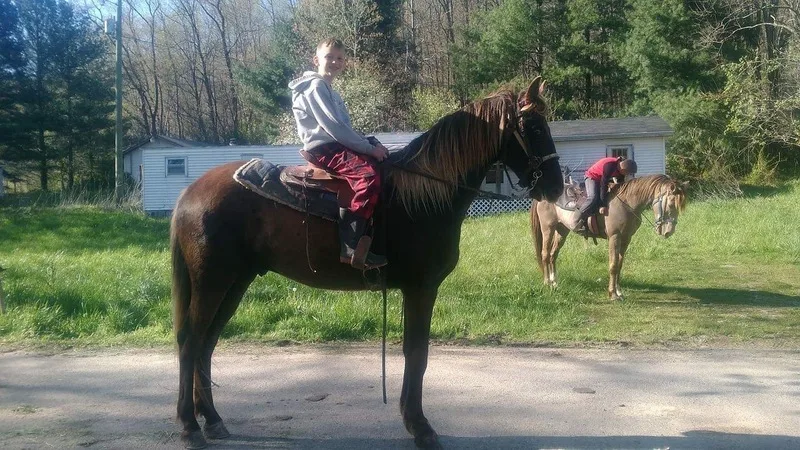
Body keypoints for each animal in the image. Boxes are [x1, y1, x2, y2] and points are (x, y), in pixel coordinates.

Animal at [170, 77, 564, 449]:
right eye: (534, 128)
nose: (557, 187)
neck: (424, 195)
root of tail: (191, 193)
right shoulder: (421, 288)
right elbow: (416, 353)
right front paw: (420, 427)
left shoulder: (416, 290)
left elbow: (413, 353)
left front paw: (412, 420)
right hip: (212, 281)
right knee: (191, 341)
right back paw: (189, 426)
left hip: (235, 281)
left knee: (207, 343)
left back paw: (212, 419)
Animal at [530, 174, 687, 300]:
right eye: (671, 203)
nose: (669, 232)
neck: (626, 202)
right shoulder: (614, 237)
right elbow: (613, 265)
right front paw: (612, 294)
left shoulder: (626, 238)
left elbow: (620, 265)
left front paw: (619, 292)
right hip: (548, 229)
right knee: (545, 254)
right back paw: (547, 284)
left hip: (562, 231)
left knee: (553, 255)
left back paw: (554, 282)